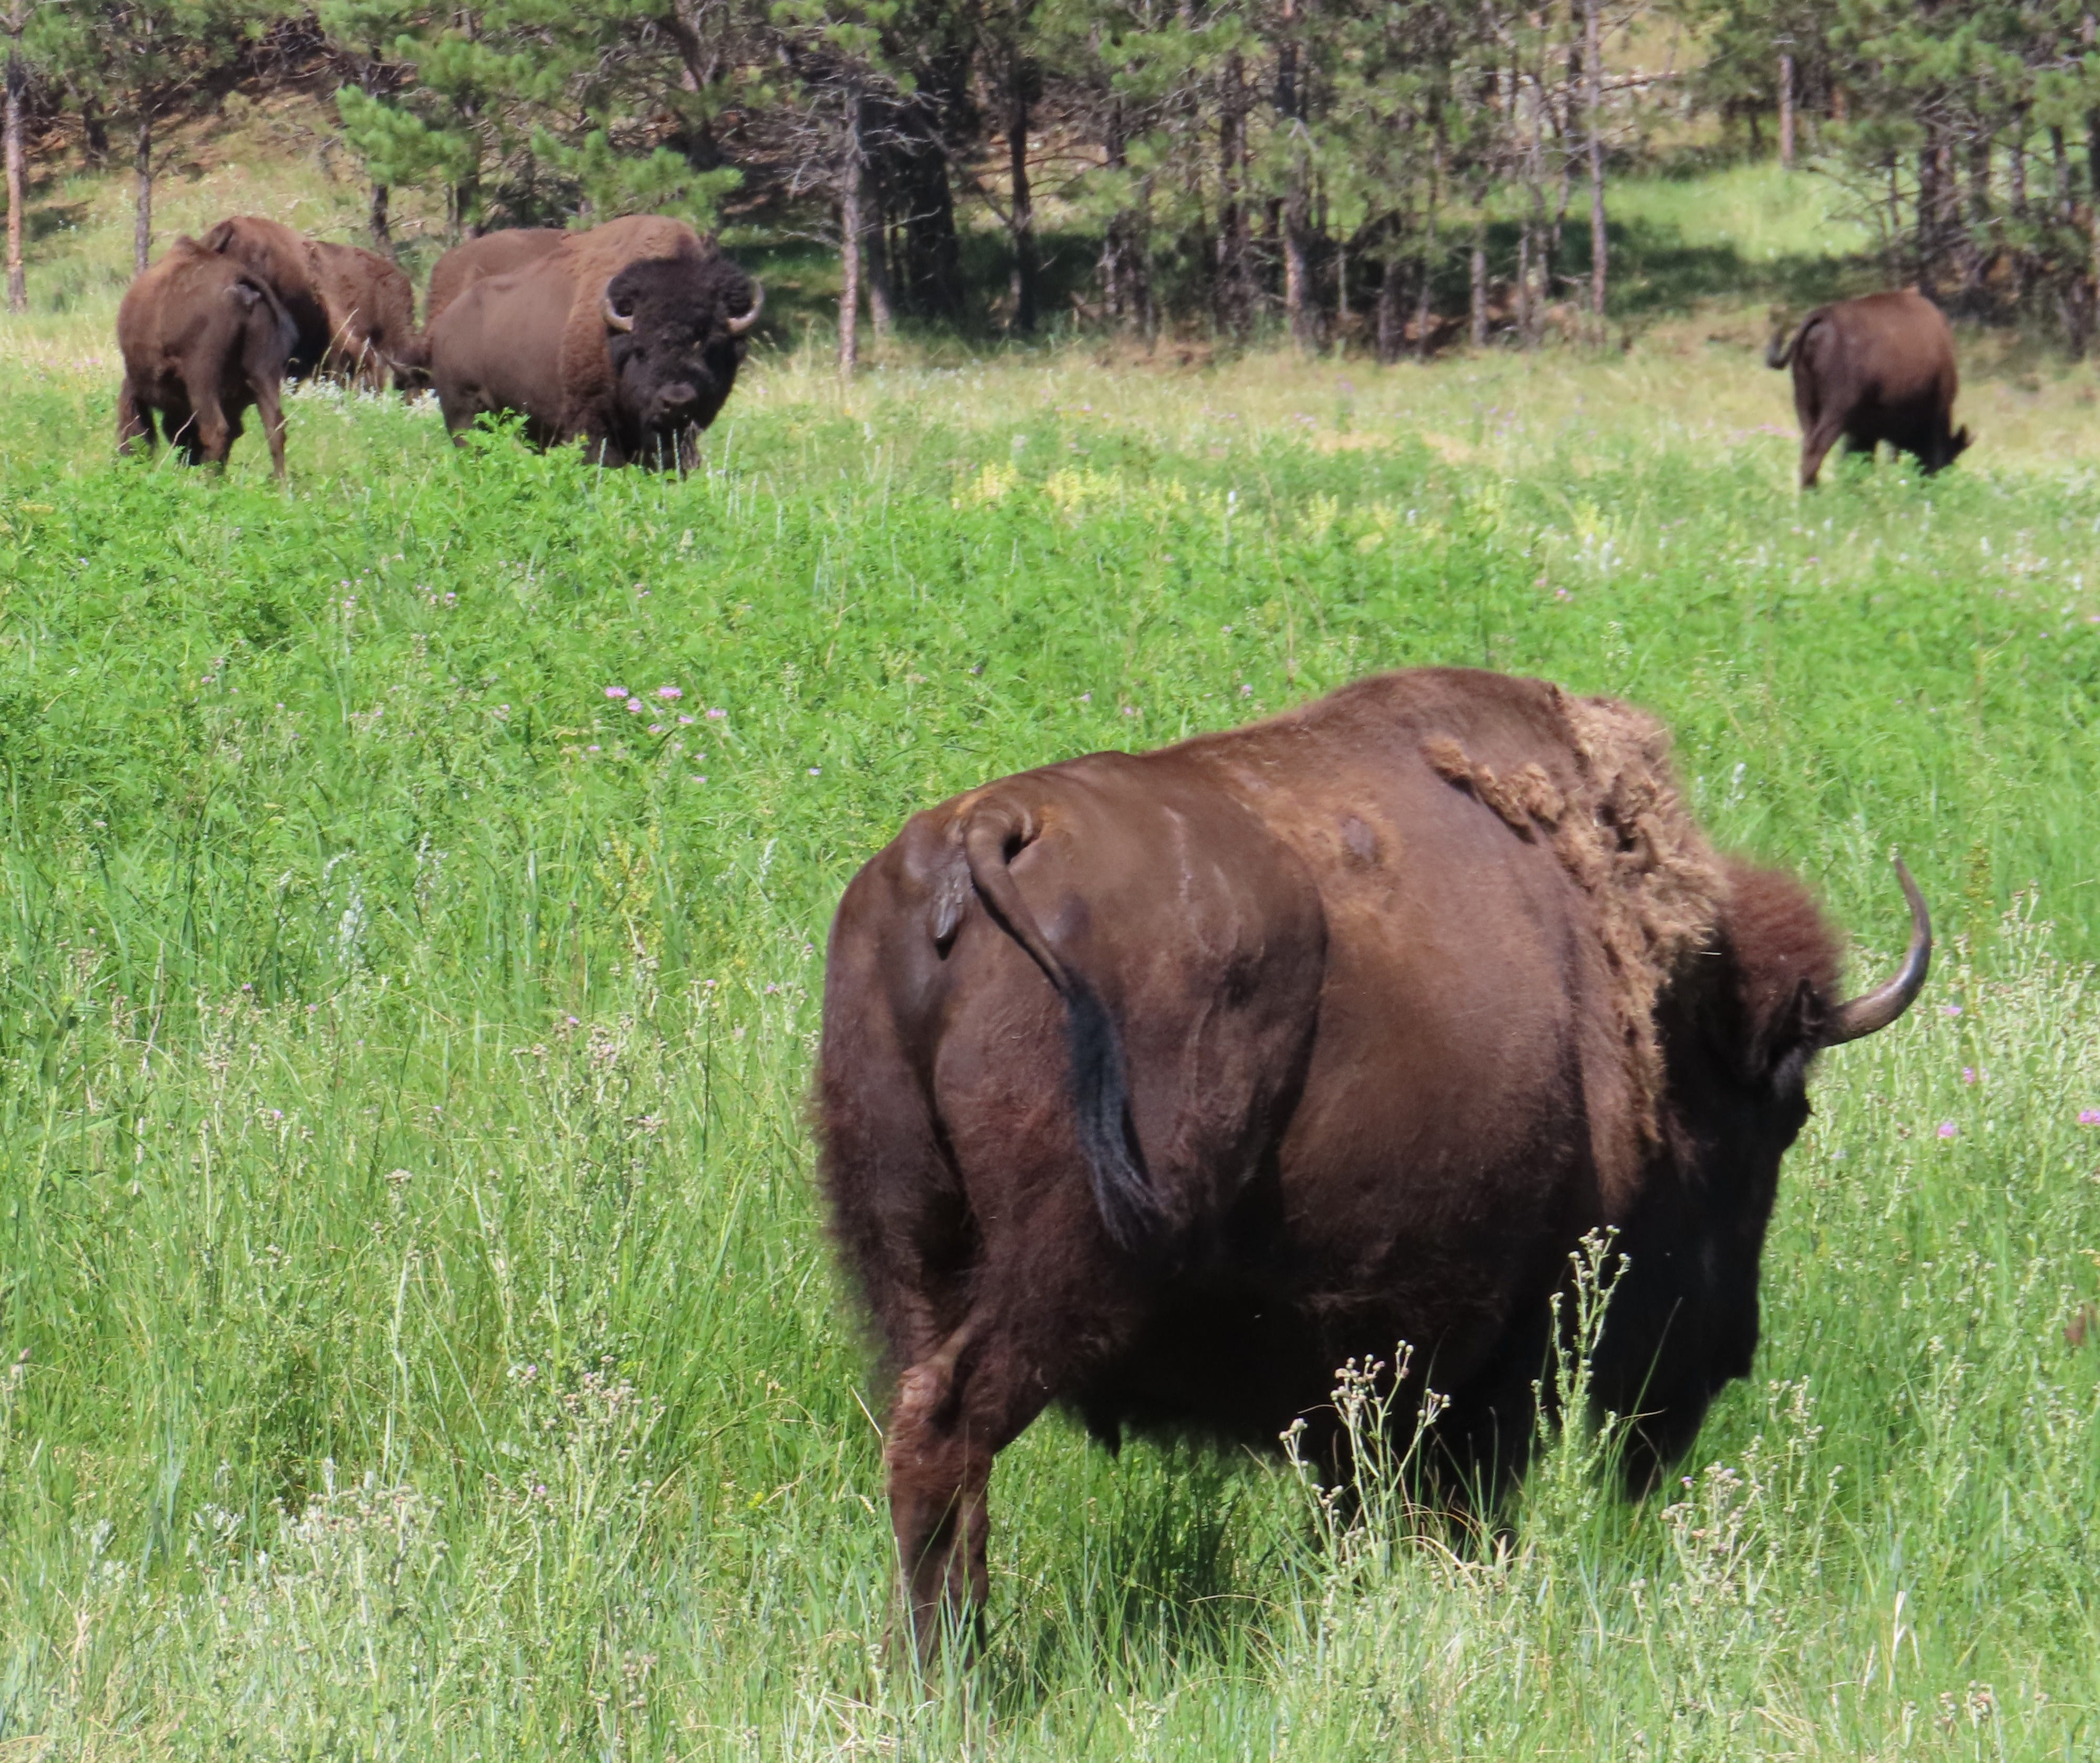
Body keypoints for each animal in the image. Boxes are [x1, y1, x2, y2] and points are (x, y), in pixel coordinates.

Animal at [116, 236, 297, 478]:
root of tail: (240, 284)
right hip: (264, 375)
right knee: (275, 429)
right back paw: (280, 484)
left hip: (202, 380)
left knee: (216, 431)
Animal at [426, 215, 762, 467]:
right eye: (640, 349)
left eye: (710, 345)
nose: (676, 401)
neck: (615, 342)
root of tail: (444, 324)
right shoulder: (590, 422)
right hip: (464, 415)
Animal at [818, 667, 1929, 1654]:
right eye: (1777, 1119)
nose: (1729, 1351)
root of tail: (984, 837)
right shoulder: (1493, 1351)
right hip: (1064, 1267)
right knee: (948, 1431)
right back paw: (957, 1674)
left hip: (908, 1252)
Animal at [1767, 290, 1971, 488]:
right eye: (1948, 459)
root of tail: (1822, 316)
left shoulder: (1864, 431)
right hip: (1836, 412)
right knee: (1816, 449)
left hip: (1805, 404)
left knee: (1808, 444)